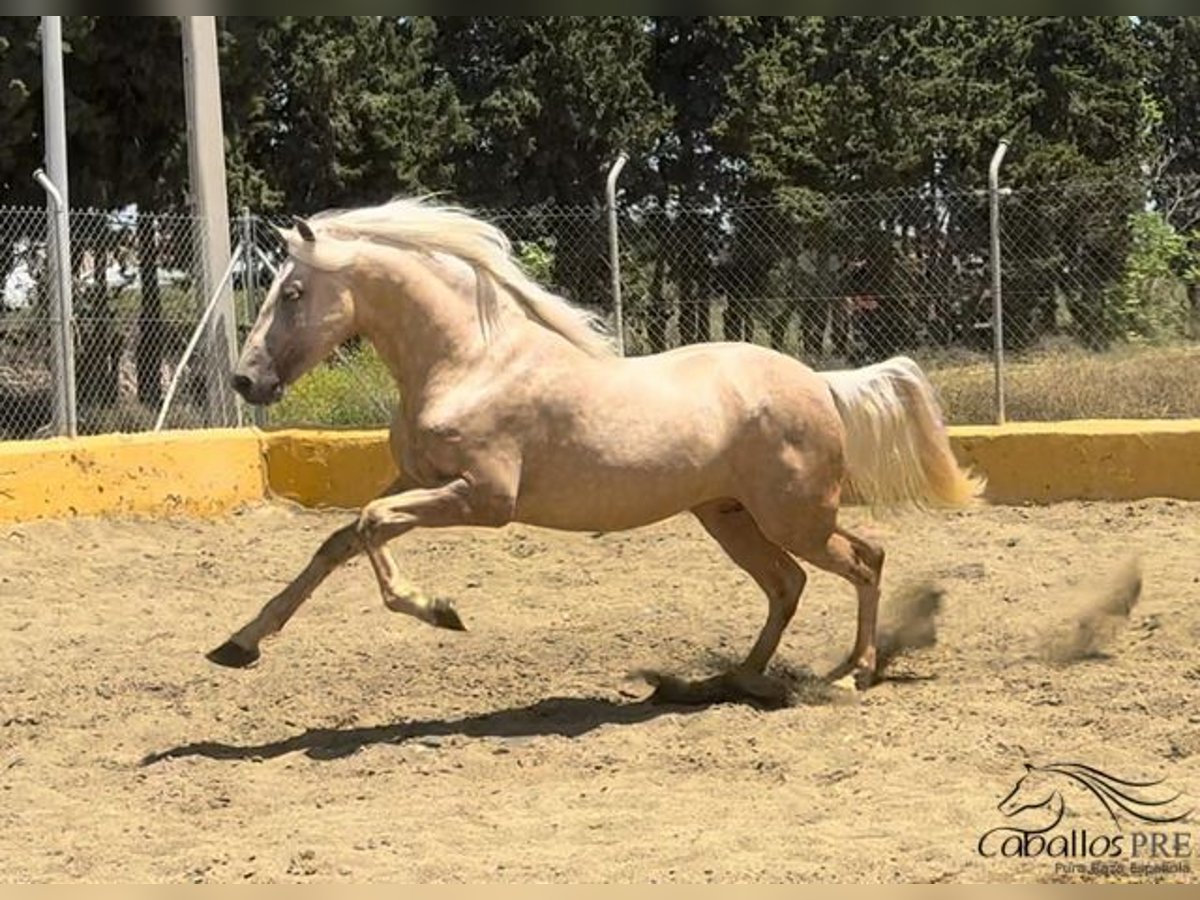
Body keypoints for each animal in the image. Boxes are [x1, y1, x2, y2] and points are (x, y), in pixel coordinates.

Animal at [213, 200, 984, 700]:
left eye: (293, 290)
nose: (246, 380)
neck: (469, 360)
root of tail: (820, 382)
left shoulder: (484, 498)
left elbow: (370, 526)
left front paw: (440, 611)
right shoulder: (416, 479)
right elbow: (339, 540)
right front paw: (237, 645)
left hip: (795, 516)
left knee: (864, 559)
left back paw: (853, 673)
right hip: (729, 516)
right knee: (787, 584)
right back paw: (732, 677)